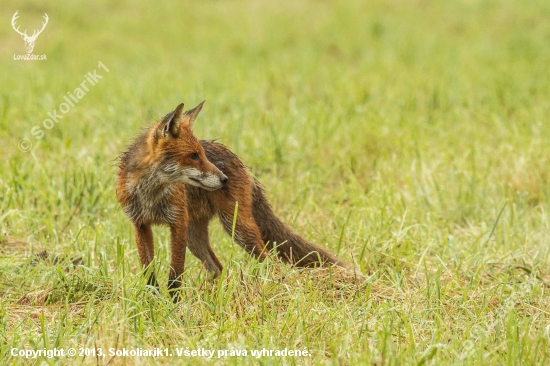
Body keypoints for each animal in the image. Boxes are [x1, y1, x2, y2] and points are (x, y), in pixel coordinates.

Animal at [117, 102, 354, 300]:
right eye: (193, 156)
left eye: (201, 155)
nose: (224, 179)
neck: (151, 195)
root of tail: (241, 163)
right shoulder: (140, 224)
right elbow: (149, 272)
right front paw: (154, 302)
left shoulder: (177, 223)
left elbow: (175, 274)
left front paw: (173, 305)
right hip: (195, 238)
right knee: (218, 268)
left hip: (237, 229)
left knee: (270, 262)